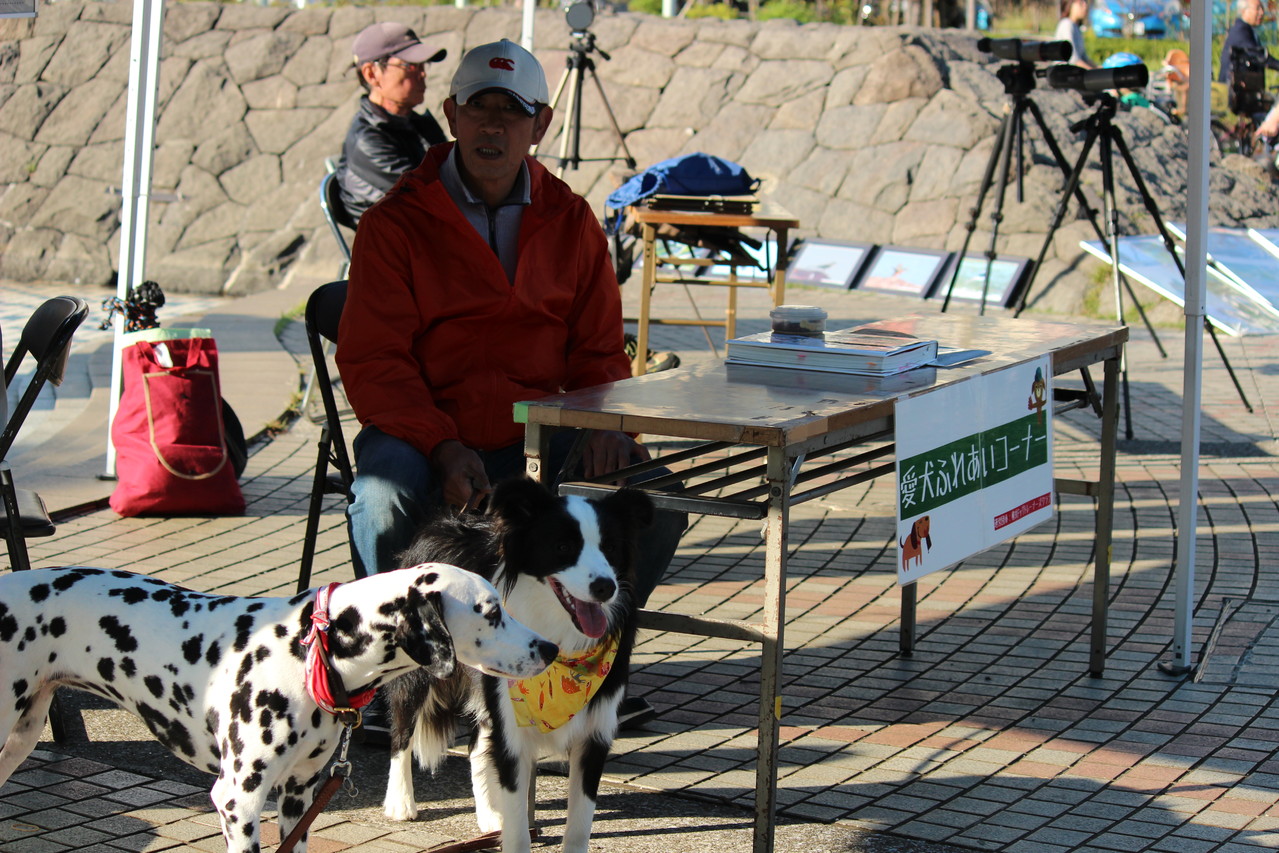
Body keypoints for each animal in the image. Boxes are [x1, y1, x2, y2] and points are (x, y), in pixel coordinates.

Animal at [0, 567, 560, 853]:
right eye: (491, 611)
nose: (550, 648)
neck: (309, 649)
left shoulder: (299, 797)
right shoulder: (238, 801)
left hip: (19, 739)